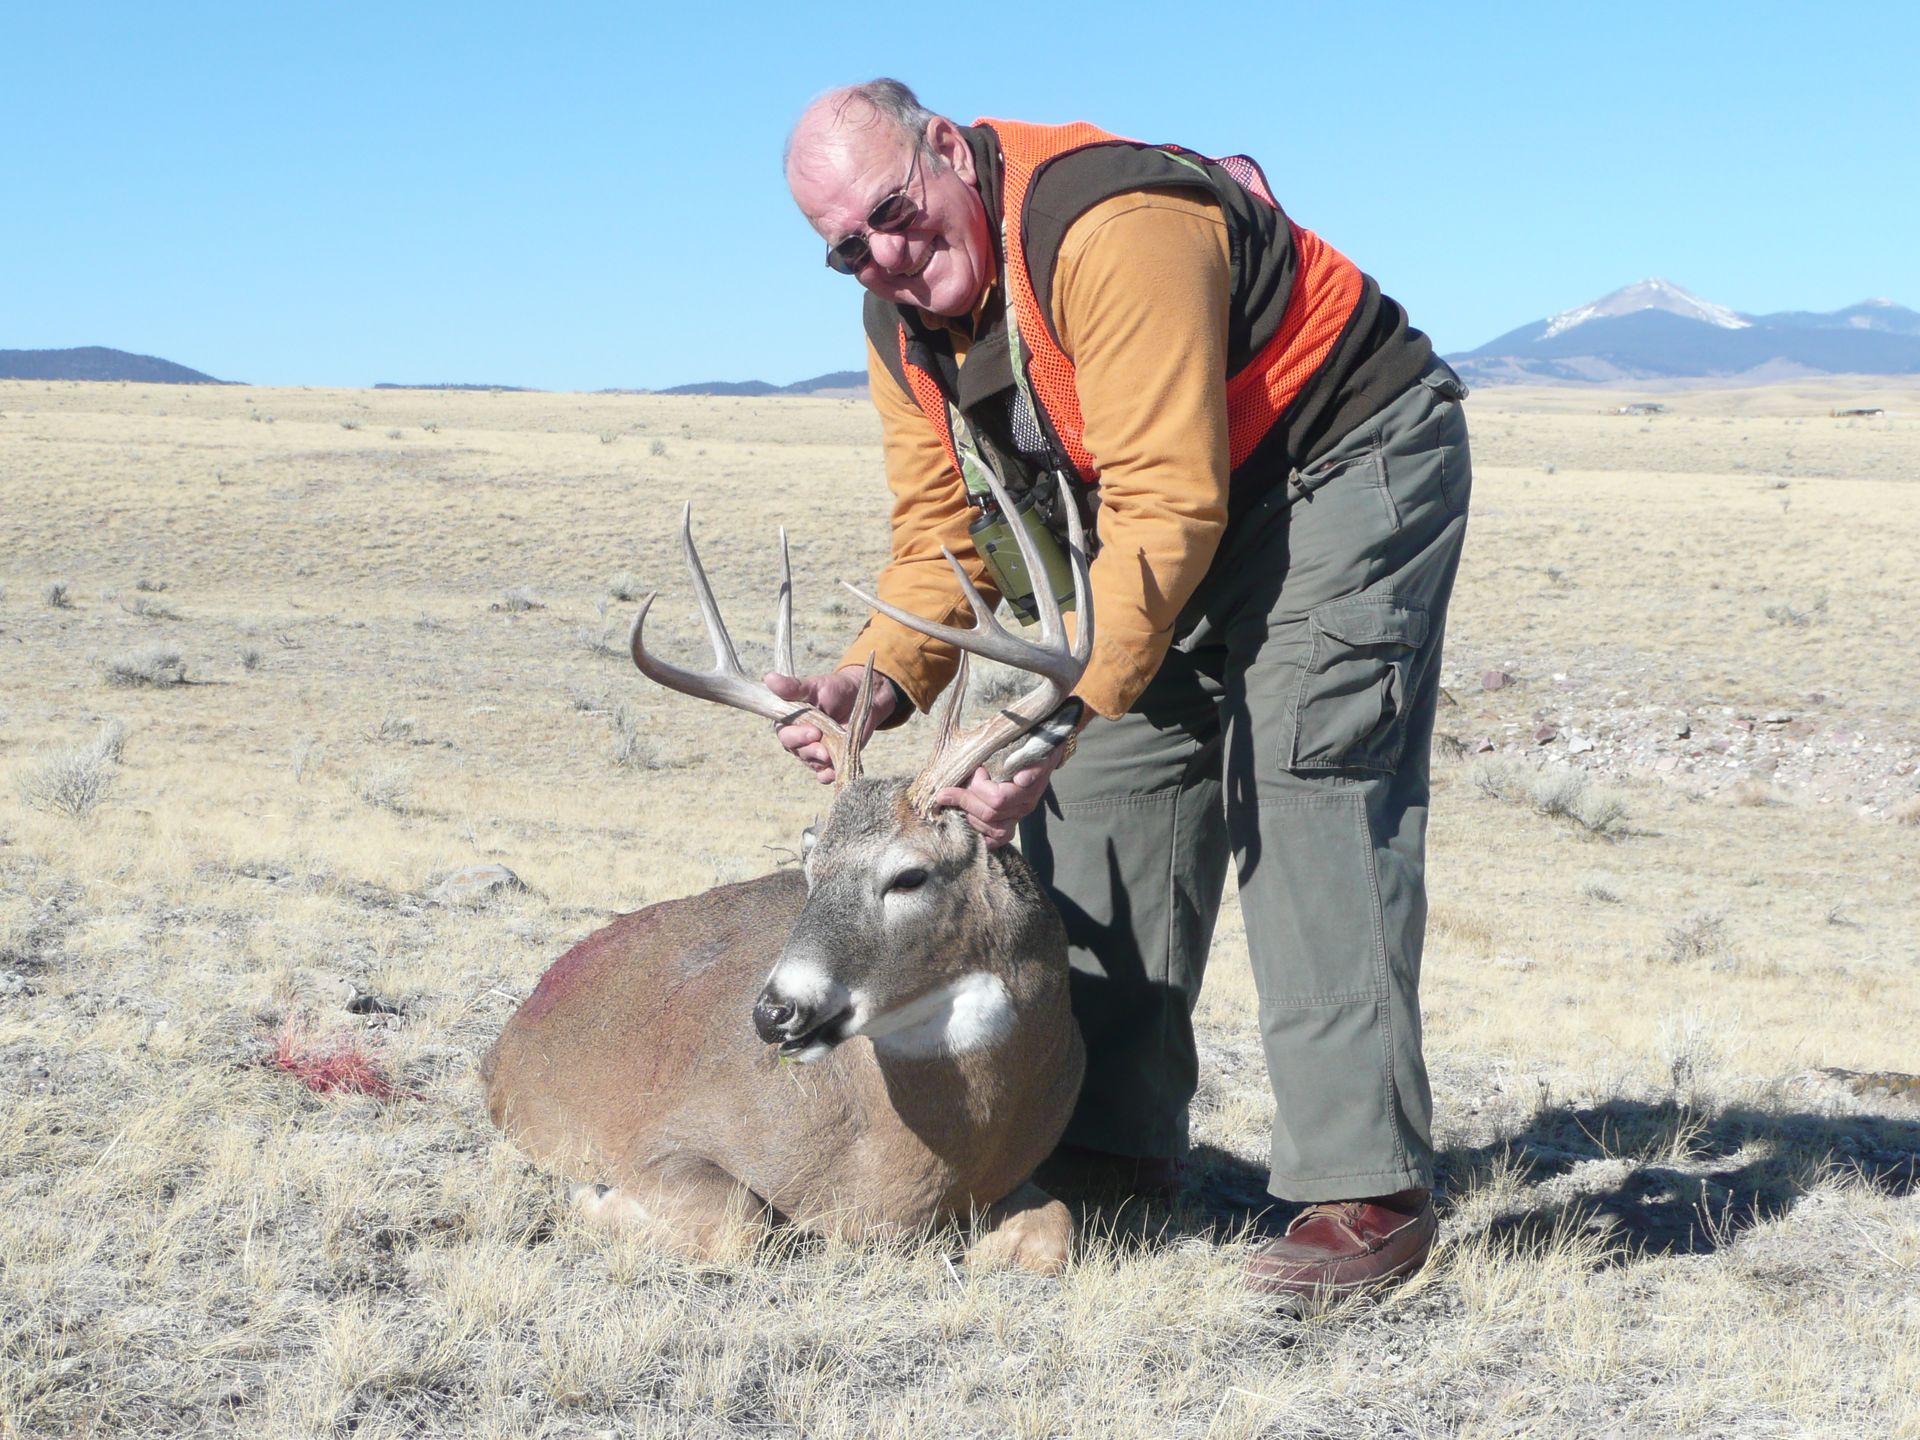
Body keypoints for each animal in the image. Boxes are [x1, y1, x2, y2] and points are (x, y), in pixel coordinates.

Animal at [481, 472, 1092, 1273]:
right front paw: (590, 1194)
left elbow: (1056, 1232)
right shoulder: (665, 1142)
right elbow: (741, 1223)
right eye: (808, 861)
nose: (773, 1013)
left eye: (910, 876)